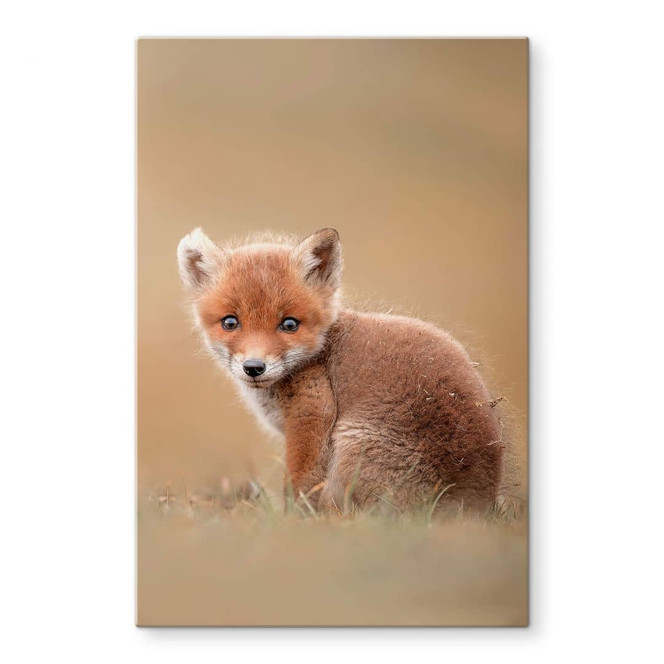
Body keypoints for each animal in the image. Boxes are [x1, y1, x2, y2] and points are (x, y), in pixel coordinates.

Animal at [177, 227, 505, 514]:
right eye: (230, 322)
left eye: (289, 324)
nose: (254, 367)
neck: (320, 352)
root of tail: (474, 504)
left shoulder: (313, 412)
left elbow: (300, 484)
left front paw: (293, 522)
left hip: (352, 446)